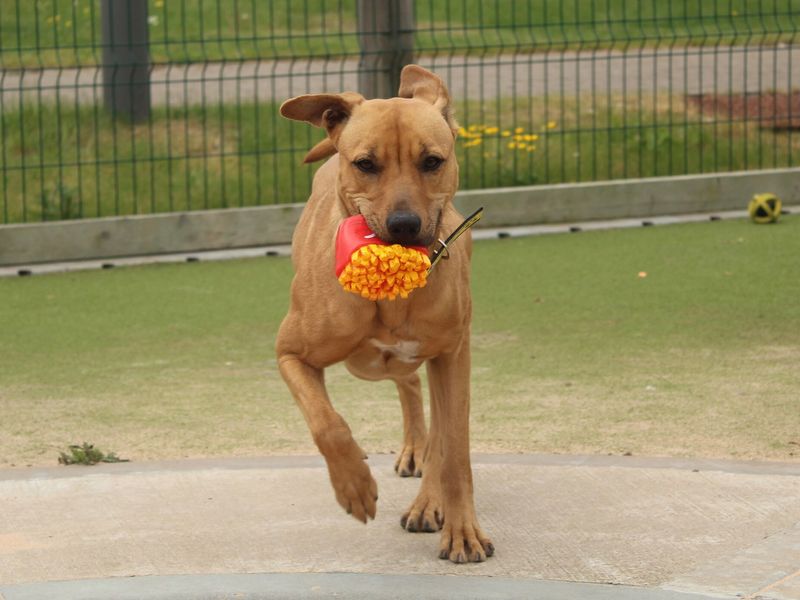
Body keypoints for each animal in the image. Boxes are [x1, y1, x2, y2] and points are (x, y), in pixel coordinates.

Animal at [276, 65, 494, 564]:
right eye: (365, 164)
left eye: (432, 161)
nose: (403, 225)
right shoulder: (290, 354)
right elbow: (328, 424)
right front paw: (354, 485)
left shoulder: (453, 355)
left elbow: (455, 451)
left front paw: (462, 530)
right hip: (368, 366)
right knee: (406, 382)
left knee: (432, 415)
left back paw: (427, 496)